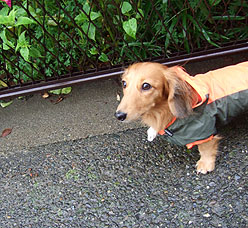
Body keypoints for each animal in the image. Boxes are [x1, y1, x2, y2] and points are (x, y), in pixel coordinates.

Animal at [115, 61, 248, 174]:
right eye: (124, 83)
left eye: (146, 85)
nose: (118, 115)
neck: (164, 111)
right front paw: (152, 131)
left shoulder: (203, 128)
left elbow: (205, 147)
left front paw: (205, 164)